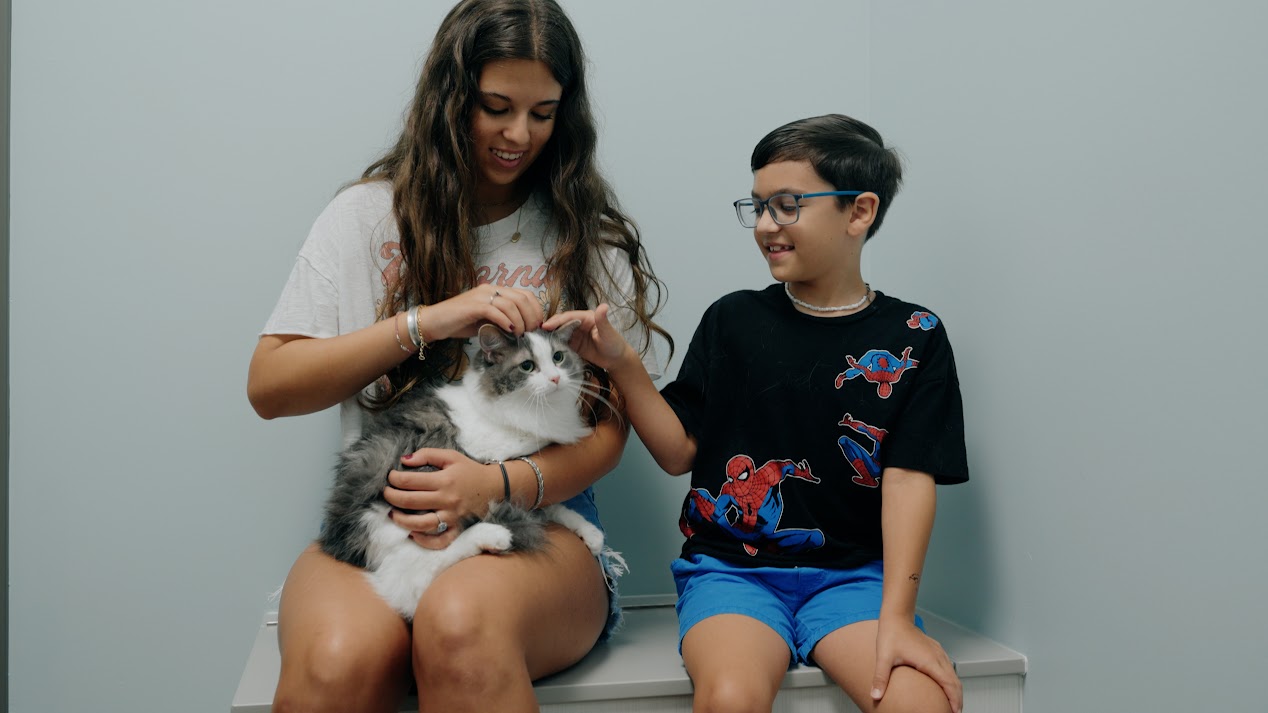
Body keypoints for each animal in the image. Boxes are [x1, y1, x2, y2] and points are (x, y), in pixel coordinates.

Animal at [322, 317, 608, 616]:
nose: (555, 378)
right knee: (412, 583)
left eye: (558, 357)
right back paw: (492, 535)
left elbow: (550, 504)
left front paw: (590, 532)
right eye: (527, 366)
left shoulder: (520, 479)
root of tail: (341, 534)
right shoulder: (491, 461)